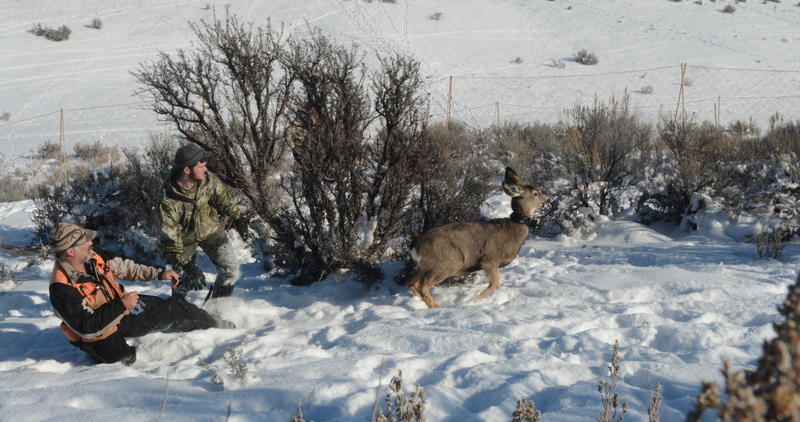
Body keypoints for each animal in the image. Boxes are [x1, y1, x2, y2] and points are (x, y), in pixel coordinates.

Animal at [406, 167, 549, 308]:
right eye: (535, 193)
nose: (547, 200)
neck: (514, 229)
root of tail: (415, 245)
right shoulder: (490, 260)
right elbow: (495, 284)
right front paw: (473, 301)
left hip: (424, 266)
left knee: (412, 283)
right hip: (448, 262)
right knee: (423, 286)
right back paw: (437, 307)